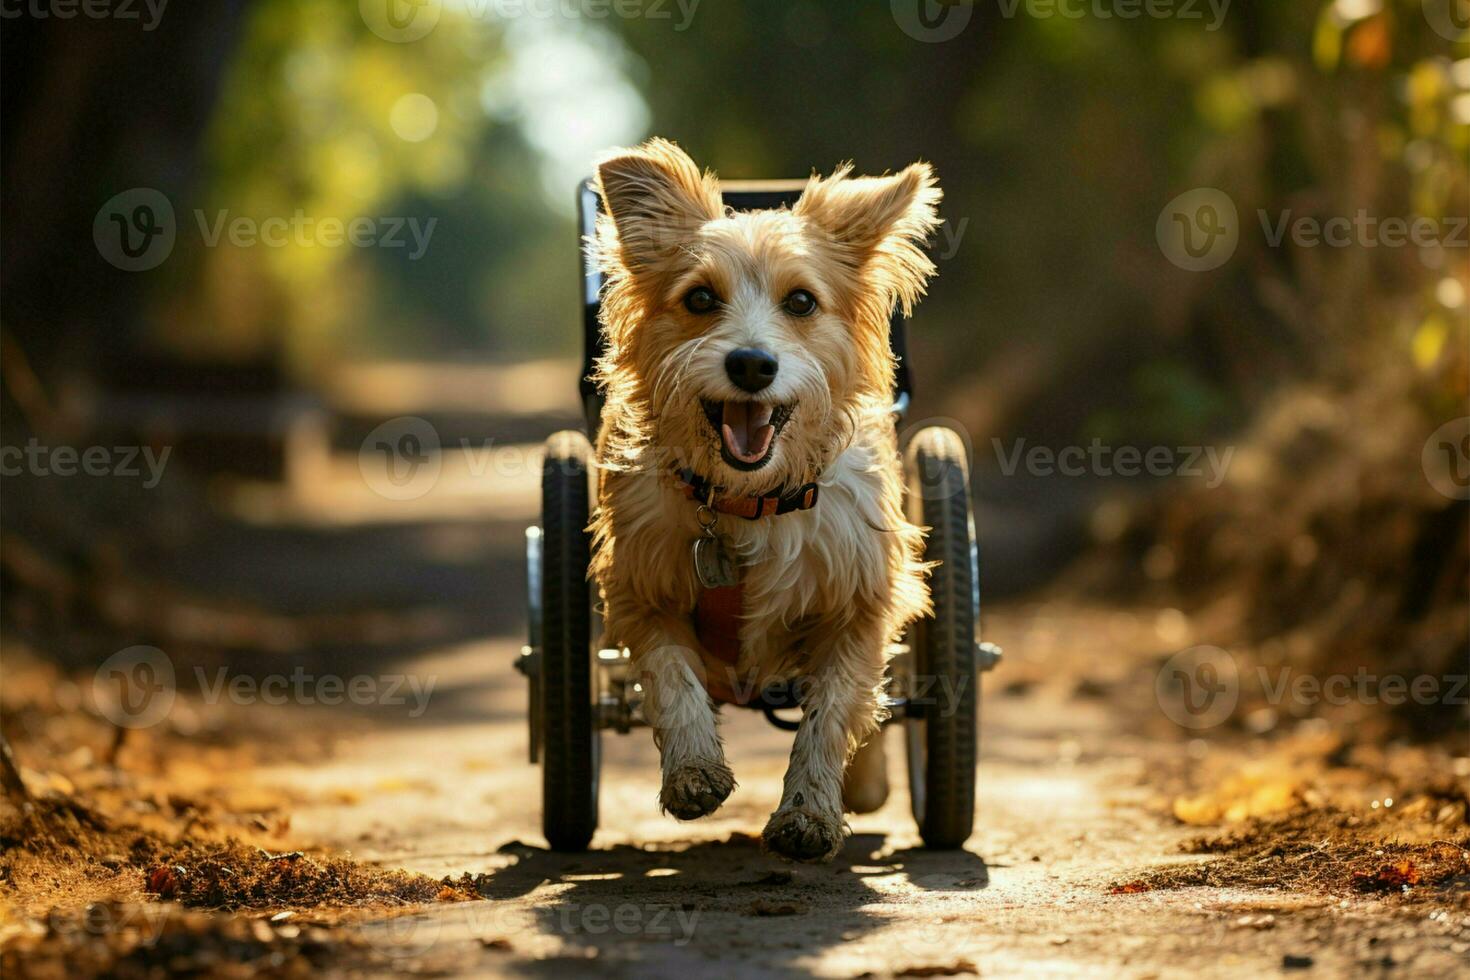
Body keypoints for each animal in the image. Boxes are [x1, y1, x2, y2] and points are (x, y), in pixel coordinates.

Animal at [585, 135, 940, 858]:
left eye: (801, 302)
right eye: (699, 298)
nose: (751, 363)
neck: (746, 502)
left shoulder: (862, 599)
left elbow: (836, 709)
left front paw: (810, 810)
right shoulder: (640, 587)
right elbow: (671, 676)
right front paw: (693, 769)